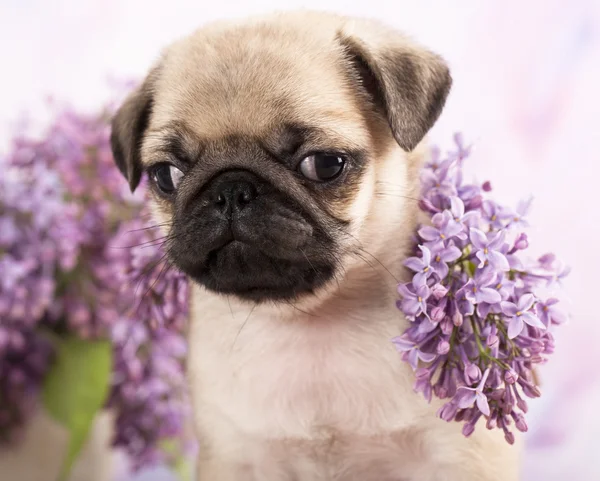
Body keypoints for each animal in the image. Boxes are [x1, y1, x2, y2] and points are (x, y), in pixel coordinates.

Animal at [109, 8, 520, 480]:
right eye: (166, 176)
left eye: (324, 164)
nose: (231, 190)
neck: (312, 322)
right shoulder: (231, 453)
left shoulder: (460, 458)